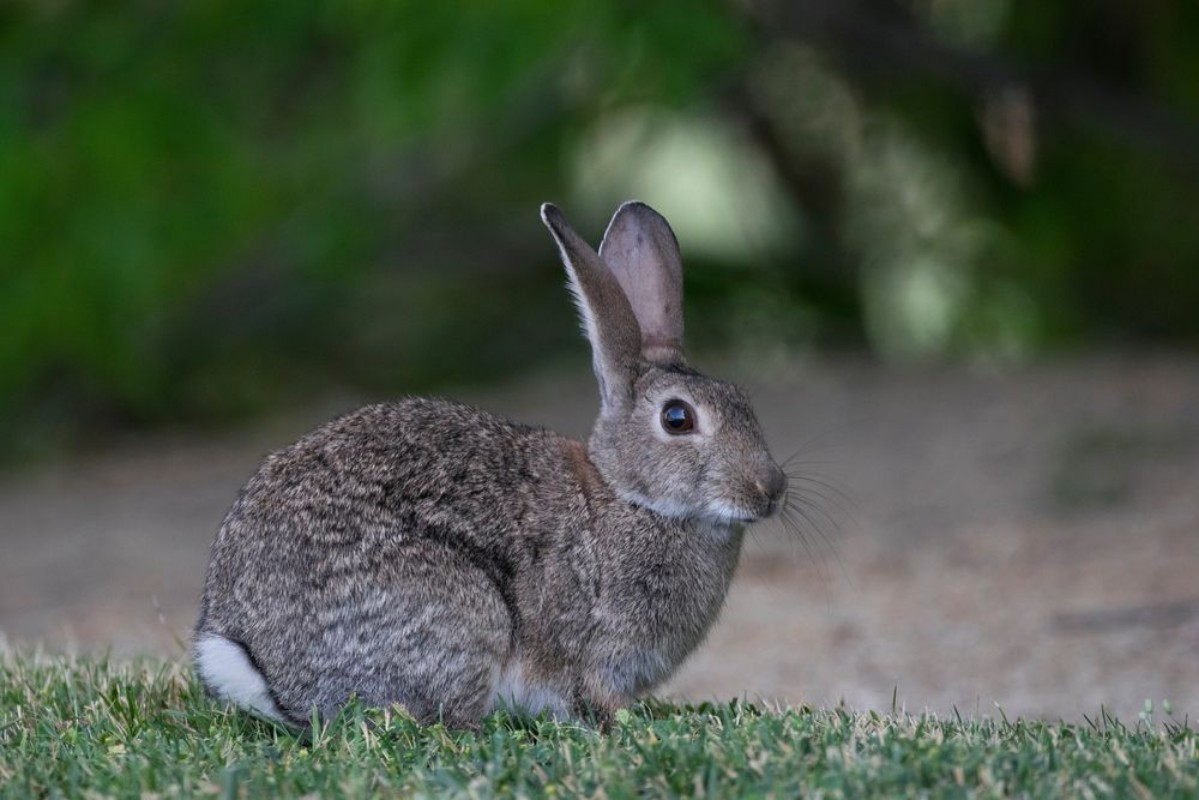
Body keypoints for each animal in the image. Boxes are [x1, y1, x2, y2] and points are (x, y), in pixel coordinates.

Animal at [193, 201, 788, 729]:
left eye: (743, 402)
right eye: (677, 418)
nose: (770, 490)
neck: (629, 496)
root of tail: (261, 667)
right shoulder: (594, 646)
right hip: (461, 611)